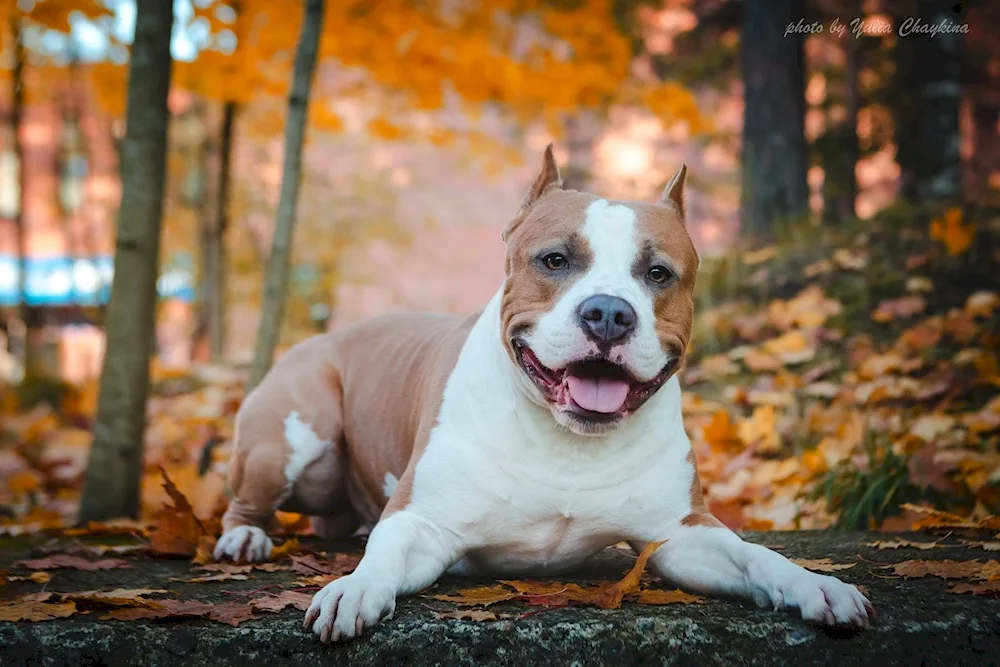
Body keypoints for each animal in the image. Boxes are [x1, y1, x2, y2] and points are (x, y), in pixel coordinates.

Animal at [215, 147, 872, 640]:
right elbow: (384, 555)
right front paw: (352, 588)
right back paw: (245, 536)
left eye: (658, 274)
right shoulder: (421, 524)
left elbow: (755, 556)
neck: (567, 439)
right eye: (555, 260)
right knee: (247, 497)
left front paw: (815, 584)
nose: (608, 313)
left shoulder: (683, 532)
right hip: (293, 436)